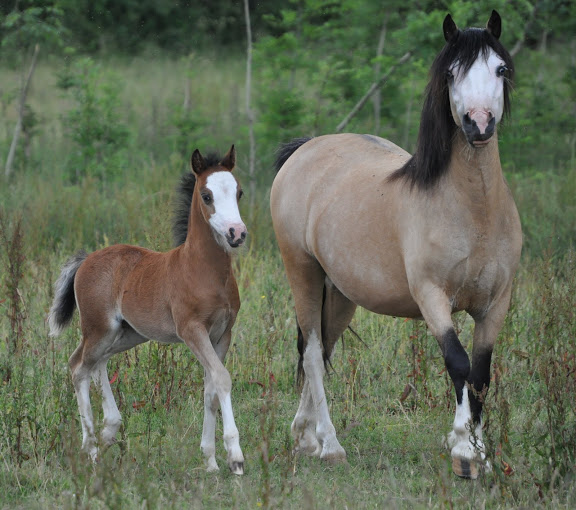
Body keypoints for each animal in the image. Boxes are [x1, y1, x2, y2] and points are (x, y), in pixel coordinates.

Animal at [49, 146, 245, 474]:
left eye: (239, 192)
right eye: (207, 195)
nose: (236, 233)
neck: (204, 271)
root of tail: (87, 259)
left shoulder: (222, 334)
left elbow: (210, 390)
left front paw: (210, 461)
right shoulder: (192, 330)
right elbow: (221, 379)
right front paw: (235, 457)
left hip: (127, 334)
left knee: (97, 363)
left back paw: (109, 430)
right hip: (99, 328)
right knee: (78, 366)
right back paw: (92, 448)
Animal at [270, 9, 520, 478]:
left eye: (500, 69)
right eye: (452, 73)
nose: (478, 124)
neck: (473, 212)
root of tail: (305, 149)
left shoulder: (496, 303)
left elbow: (481, 375)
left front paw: (478, 454)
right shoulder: (432, 297)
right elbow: (458, 364)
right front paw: (464, 451)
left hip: (340, 293)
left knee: (323, 350)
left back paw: (305, 438)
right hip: (302, 273)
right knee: (312, 353)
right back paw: (330, 446)